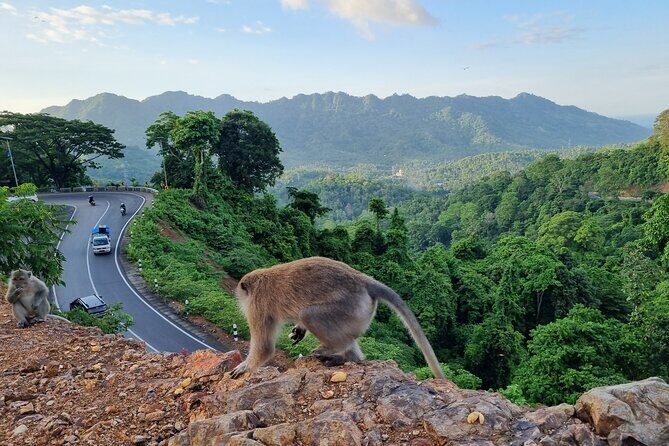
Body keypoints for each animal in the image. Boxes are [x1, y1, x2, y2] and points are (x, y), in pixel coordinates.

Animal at [230, 257, 445, 380]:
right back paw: (350, 358)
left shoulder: (257, 306)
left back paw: (334, 350)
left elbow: (265, 348)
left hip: (349, 308)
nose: (239, 301)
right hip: (358, 314)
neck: (260, 280)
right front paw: (299, 330)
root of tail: (365, 281)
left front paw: (244, 367)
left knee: (310, 315)